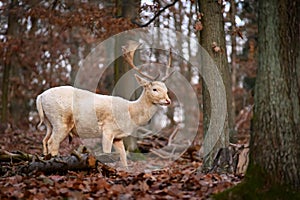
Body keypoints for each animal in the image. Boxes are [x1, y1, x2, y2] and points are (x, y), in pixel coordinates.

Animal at [36, 42, 173, 167]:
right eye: (155, 89)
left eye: (166, 89)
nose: (168, 100)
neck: (130, 113)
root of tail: (40, 97)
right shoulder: (108, 130)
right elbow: (107, 153)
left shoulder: (118, 137)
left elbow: (123, 157)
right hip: (61, 121)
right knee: (52, 142)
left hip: (49, 122)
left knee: (45, 140)